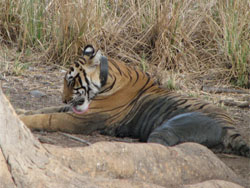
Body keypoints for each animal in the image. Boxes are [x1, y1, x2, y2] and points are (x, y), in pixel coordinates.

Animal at [20, 44, 250, 157]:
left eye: (70, 80)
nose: (64, 97)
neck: (107, 78)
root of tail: (230, 127)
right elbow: (47, 109)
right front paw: (20, 112)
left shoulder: (84, 119)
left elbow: (48, 117)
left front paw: (24, 121)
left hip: (171, 127)